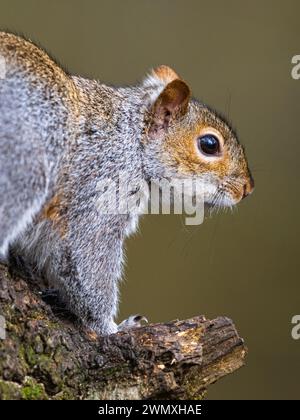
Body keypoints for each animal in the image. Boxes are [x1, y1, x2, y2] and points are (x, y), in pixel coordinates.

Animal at [0, 32, 253, 334]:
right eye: (209, 144)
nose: (247, 188)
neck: (129, 138)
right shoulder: (101, 187)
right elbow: (88, 257)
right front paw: (112, 328)